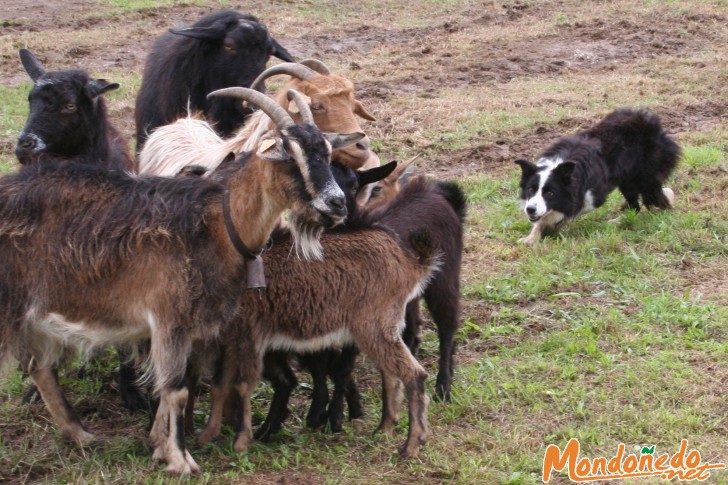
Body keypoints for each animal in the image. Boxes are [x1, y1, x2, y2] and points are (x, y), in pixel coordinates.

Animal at [0, 87, 358, 472]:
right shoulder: (169, 317)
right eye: (290, 156)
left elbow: (176, 384)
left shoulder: (188, 328)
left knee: (40, 368)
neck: (217, 221)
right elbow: (175, 388)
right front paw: (180, 459)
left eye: (327, 152)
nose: (337, 204)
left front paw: (158, 445)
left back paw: (80, 434)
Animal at [516, 108, 680, 244]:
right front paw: (531, 237)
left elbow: (570, 211)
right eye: (531, 190)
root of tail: (656, 125)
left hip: (642, 177)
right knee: (635, 205)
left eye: (550, 193)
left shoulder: (593, 196)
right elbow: (541, 220)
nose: (530, 209)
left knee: (649, 201)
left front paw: (553, 226)